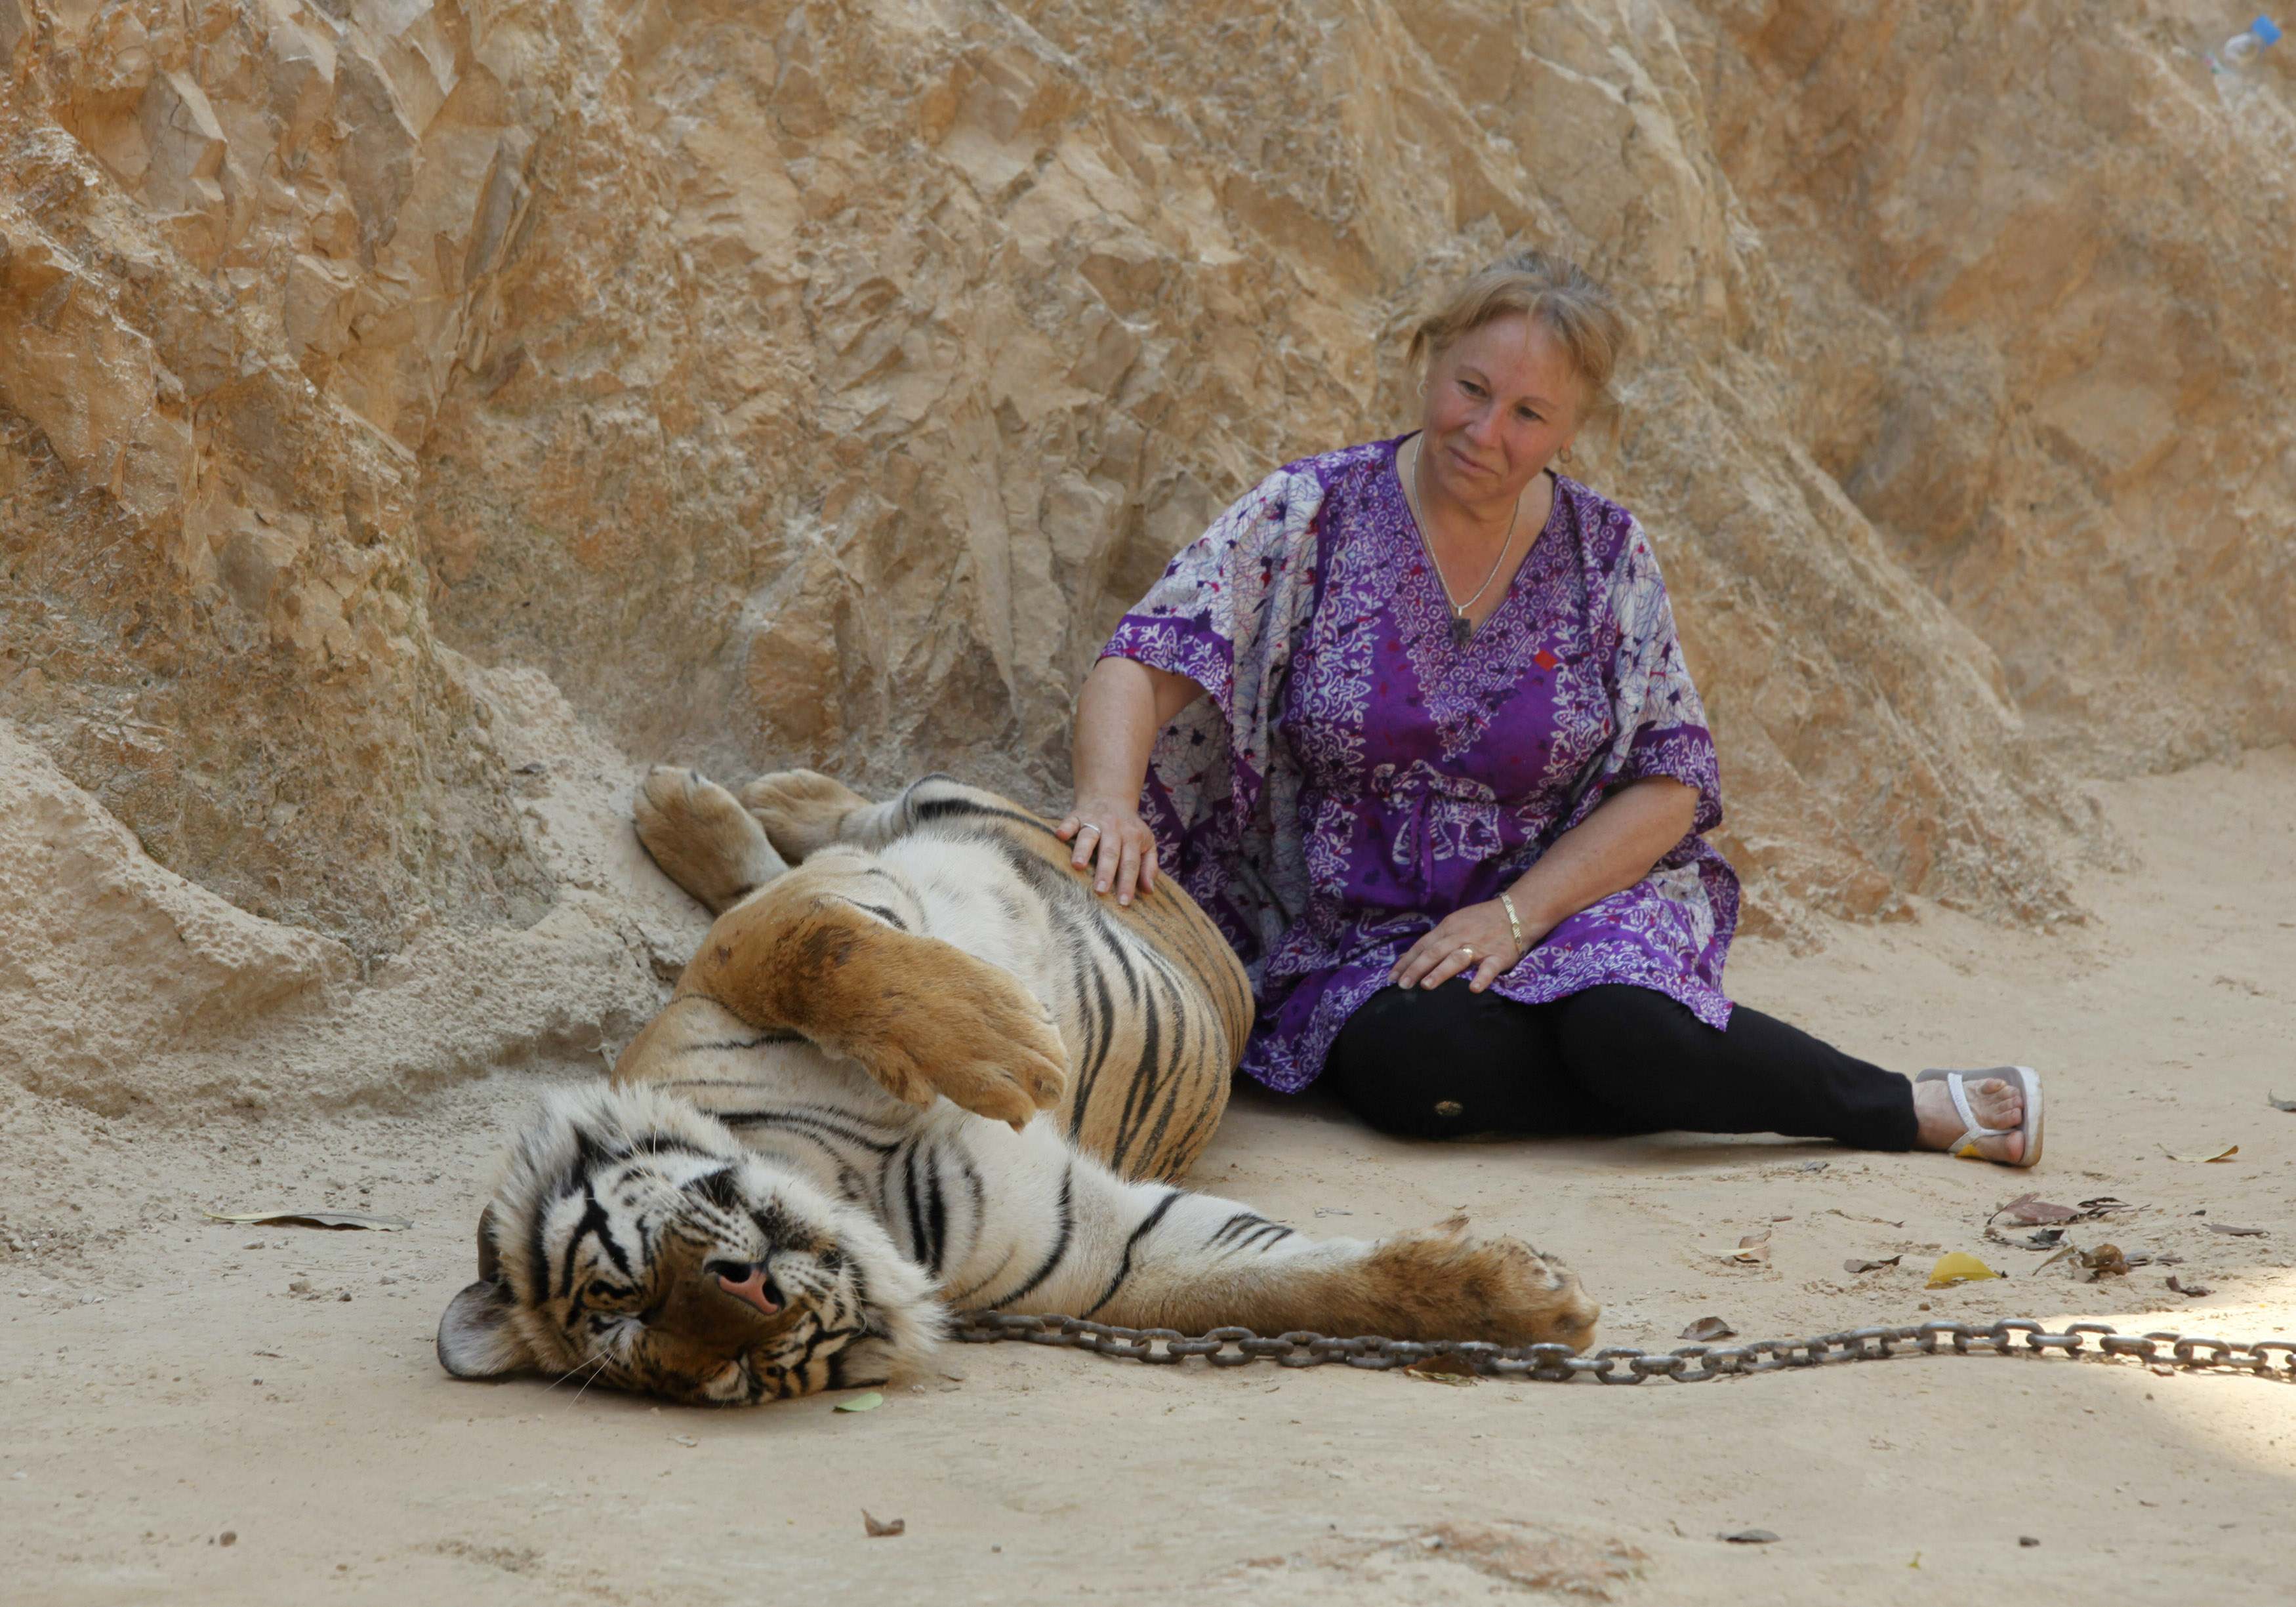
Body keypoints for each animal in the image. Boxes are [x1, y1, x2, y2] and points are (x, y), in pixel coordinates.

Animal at [438, 767, 1607, 1405]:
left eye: (621, 1289)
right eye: (727, 1373)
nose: (751, 1296)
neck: (845, 1181)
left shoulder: (735, 967)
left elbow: (819, 944)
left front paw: (1009, 1045)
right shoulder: (1098, 1244)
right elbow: (1279, 1285)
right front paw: (1522, 1298)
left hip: (965, 809)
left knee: (856, 823)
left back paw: (712, 800)